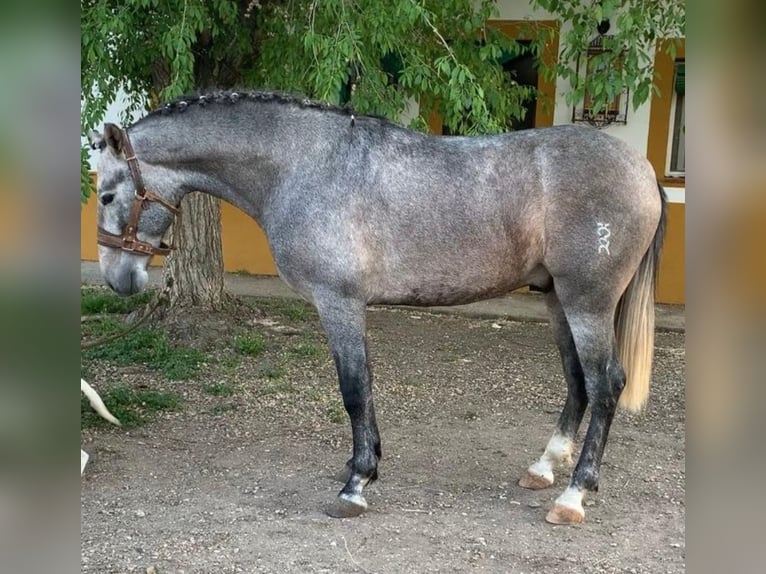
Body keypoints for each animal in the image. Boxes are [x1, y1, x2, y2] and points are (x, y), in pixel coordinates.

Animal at [87, 90, 666, 525]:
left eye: (107, 196)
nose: (118, 279)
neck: (304, 165)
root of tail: (643, 169)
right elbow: (361, 388)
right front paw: (360, 464)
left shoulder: (339, 302)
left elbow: (353, 390)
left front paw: (356, 484)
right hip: (557, 300)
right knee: (577, 380)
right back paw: (545, 467)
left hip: (587, 302)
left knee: (606, 384)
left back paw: (573, 495)